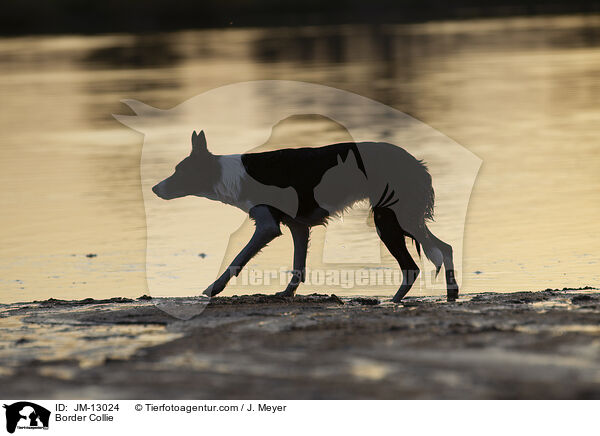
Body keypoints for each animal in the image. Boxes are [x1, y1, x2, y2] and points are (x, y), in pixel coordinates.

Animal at [152, 130, 458, 304]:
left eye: (179, 171)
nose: (155, 188)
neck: (230, 174)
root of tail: (416, 163)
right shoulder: (297, 226)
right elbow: (298, 266)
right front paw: (287, 294)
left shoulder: (267, 226)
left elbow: (238, 259)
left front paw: (213, 289)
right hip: (402, 219)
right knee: (445, 248)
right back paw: (452, 294)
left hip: (390, 220)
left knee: (413, 266)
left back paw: (392, 301)